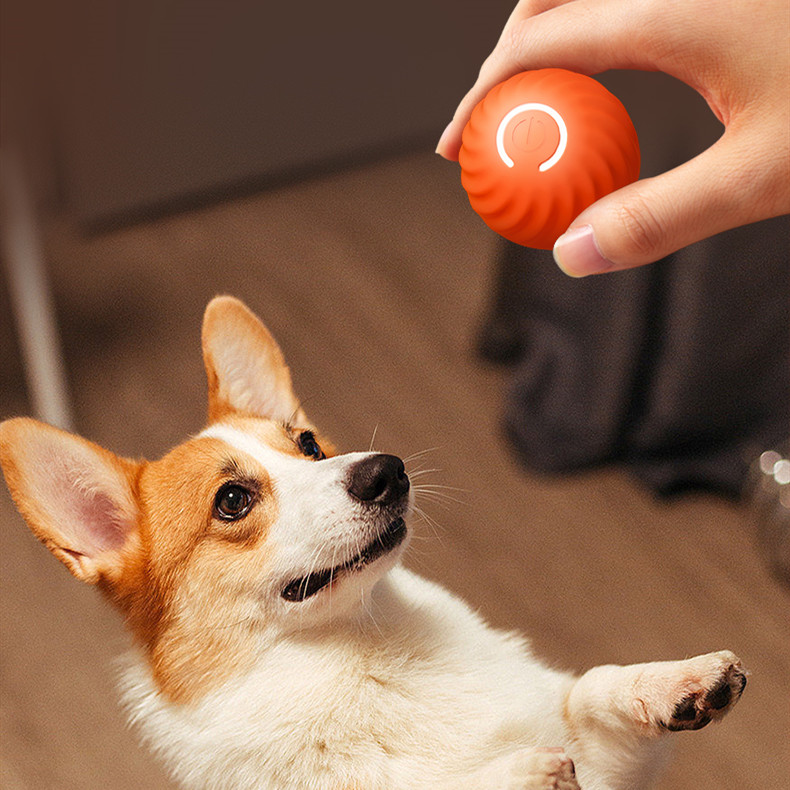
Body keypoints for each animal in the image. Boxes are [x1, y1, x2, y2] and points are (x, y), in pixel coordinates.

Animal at [0, 298, 748, 790]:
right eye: (233, 500)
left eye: (308, 444)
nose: (387, 470)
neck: (368, 654)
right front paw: (518, 772)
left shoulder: (603, 760)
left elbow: (591, 689)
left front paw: (683, 681)